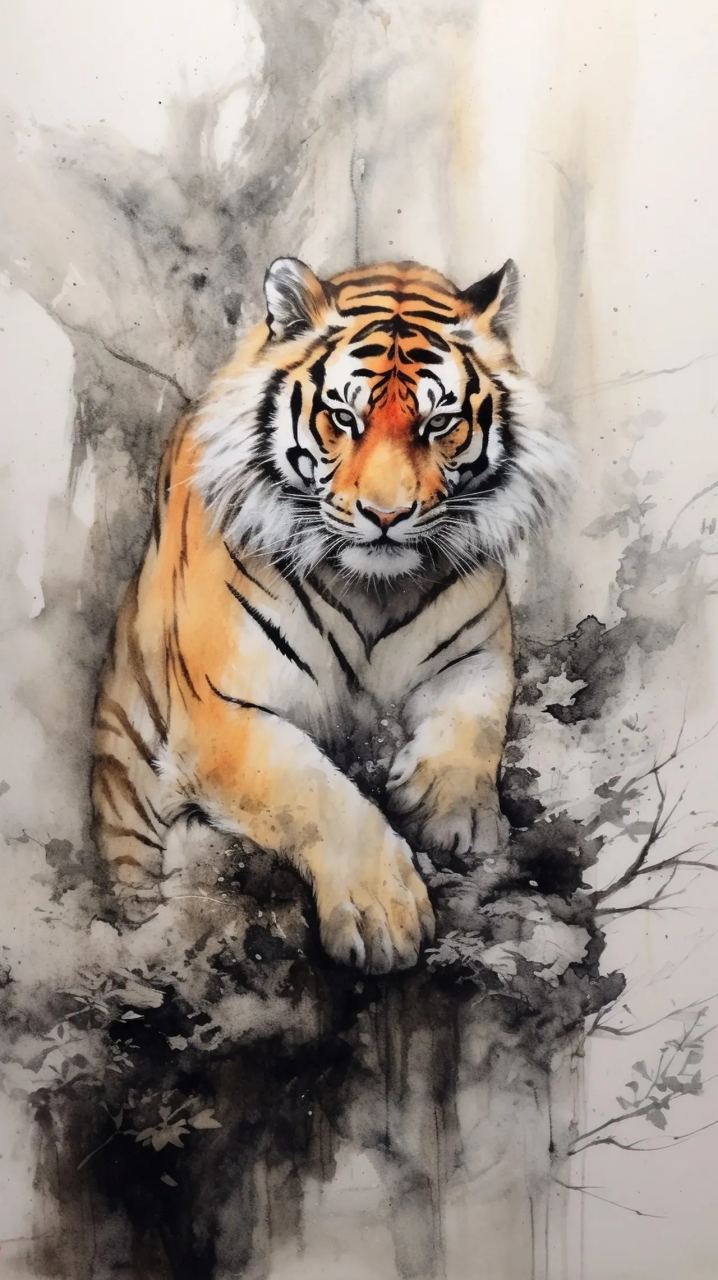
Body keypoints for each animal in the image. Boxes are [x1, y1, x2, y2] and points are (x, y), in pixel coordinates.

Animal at [92, 256, 569, 973]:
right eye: (343, 417)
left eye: (438, 424)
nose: (387, 515)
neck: (374, 592)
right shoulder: (220, 713)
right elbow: (315, 791)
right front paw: (383, 915)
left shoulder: (478, 653)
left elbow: (477, 722)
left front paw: (454, 811)